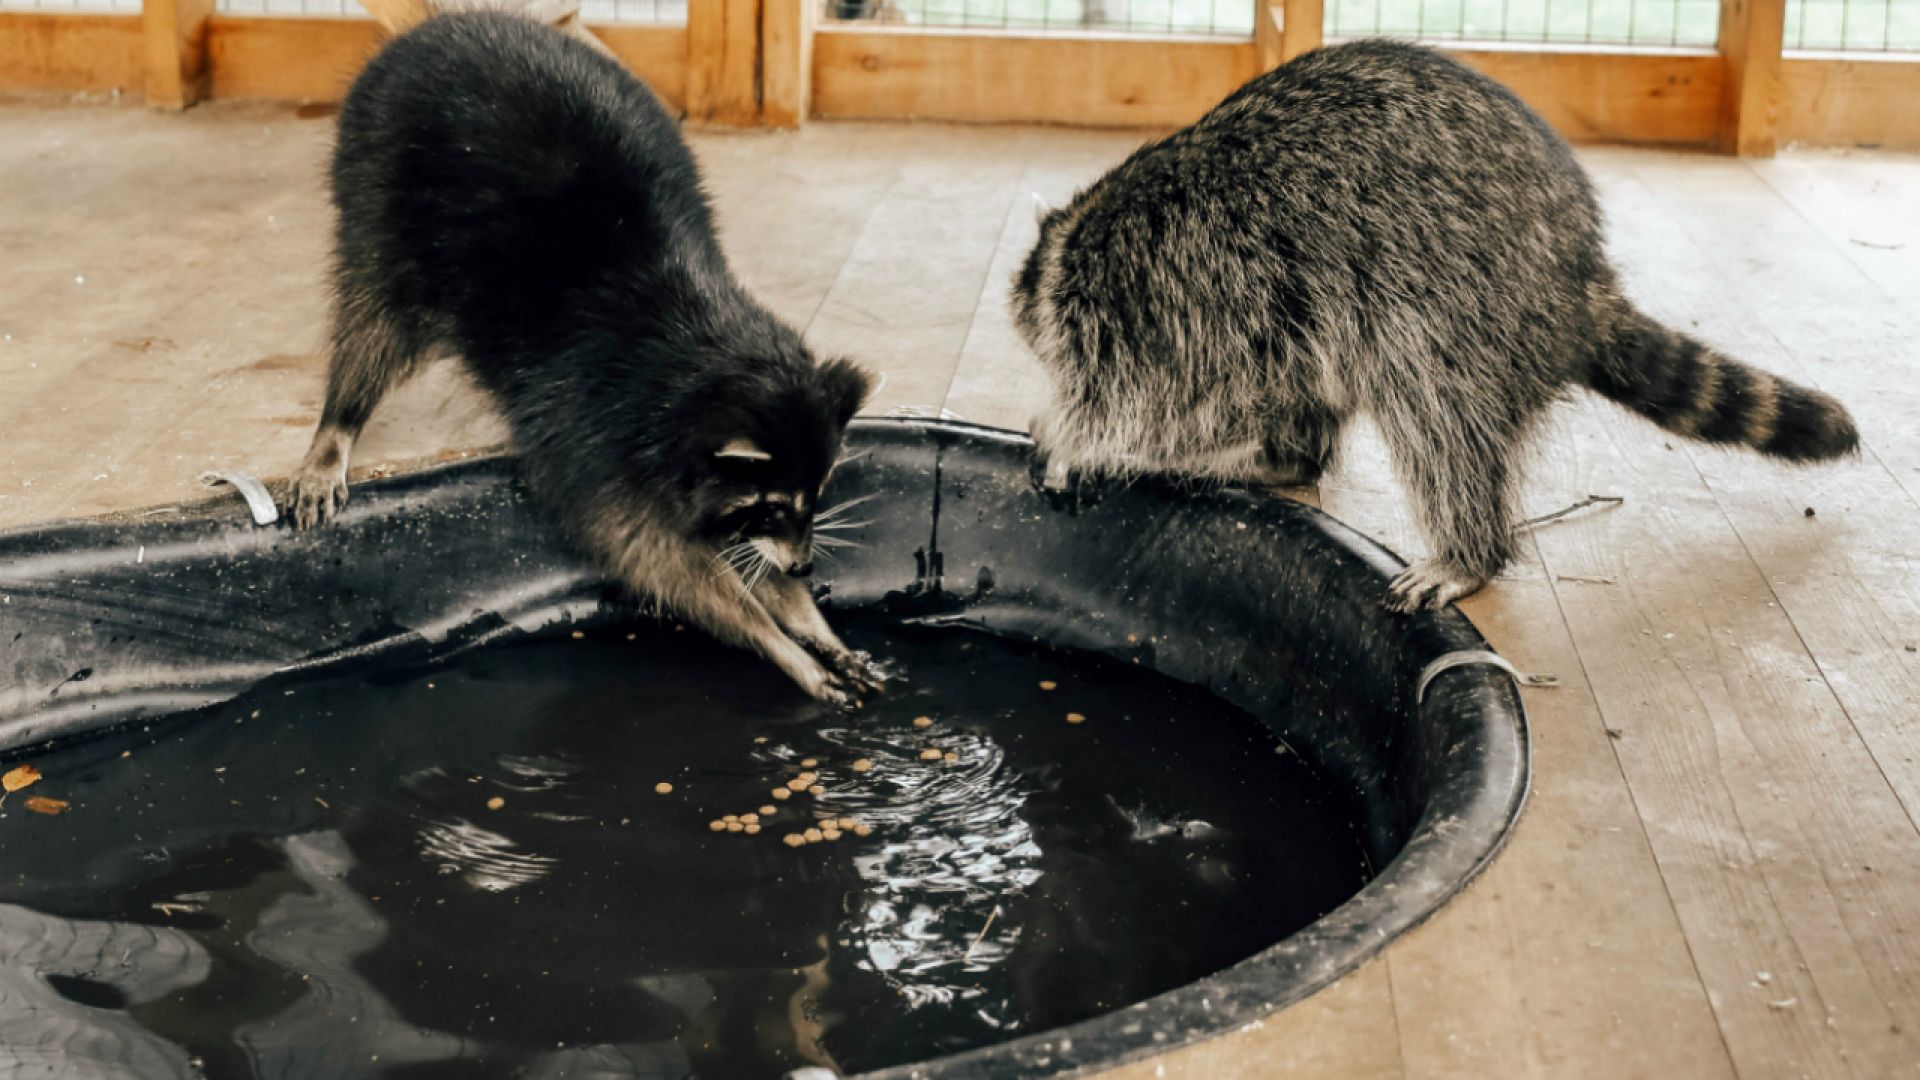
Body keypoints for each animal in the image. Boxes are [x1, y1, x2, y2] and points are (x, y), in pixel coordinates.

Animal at [284, 12, 879, 703]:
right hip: (379, 183)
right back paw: (339, 420)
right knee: (373, 317)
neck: (706, 342)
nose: (805, 565)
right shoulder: (595, 439)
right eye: (774, 504)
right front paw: (776, 640)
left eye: (817, 495)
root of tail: (443, 24)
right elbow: (659, 561)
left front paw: (803, 614)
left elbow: (729, 548)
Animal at [1013, 37, 1850, 611]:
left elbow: (1170, 404)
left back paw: (1468, 547)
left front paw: (1073, 436)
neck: (1090, 237)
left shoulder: (1188, 293)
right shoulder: (1245, 304)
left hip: (1464, 309)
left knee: (1436, 413)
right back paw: (1287, 459)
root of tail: (1582, 280)